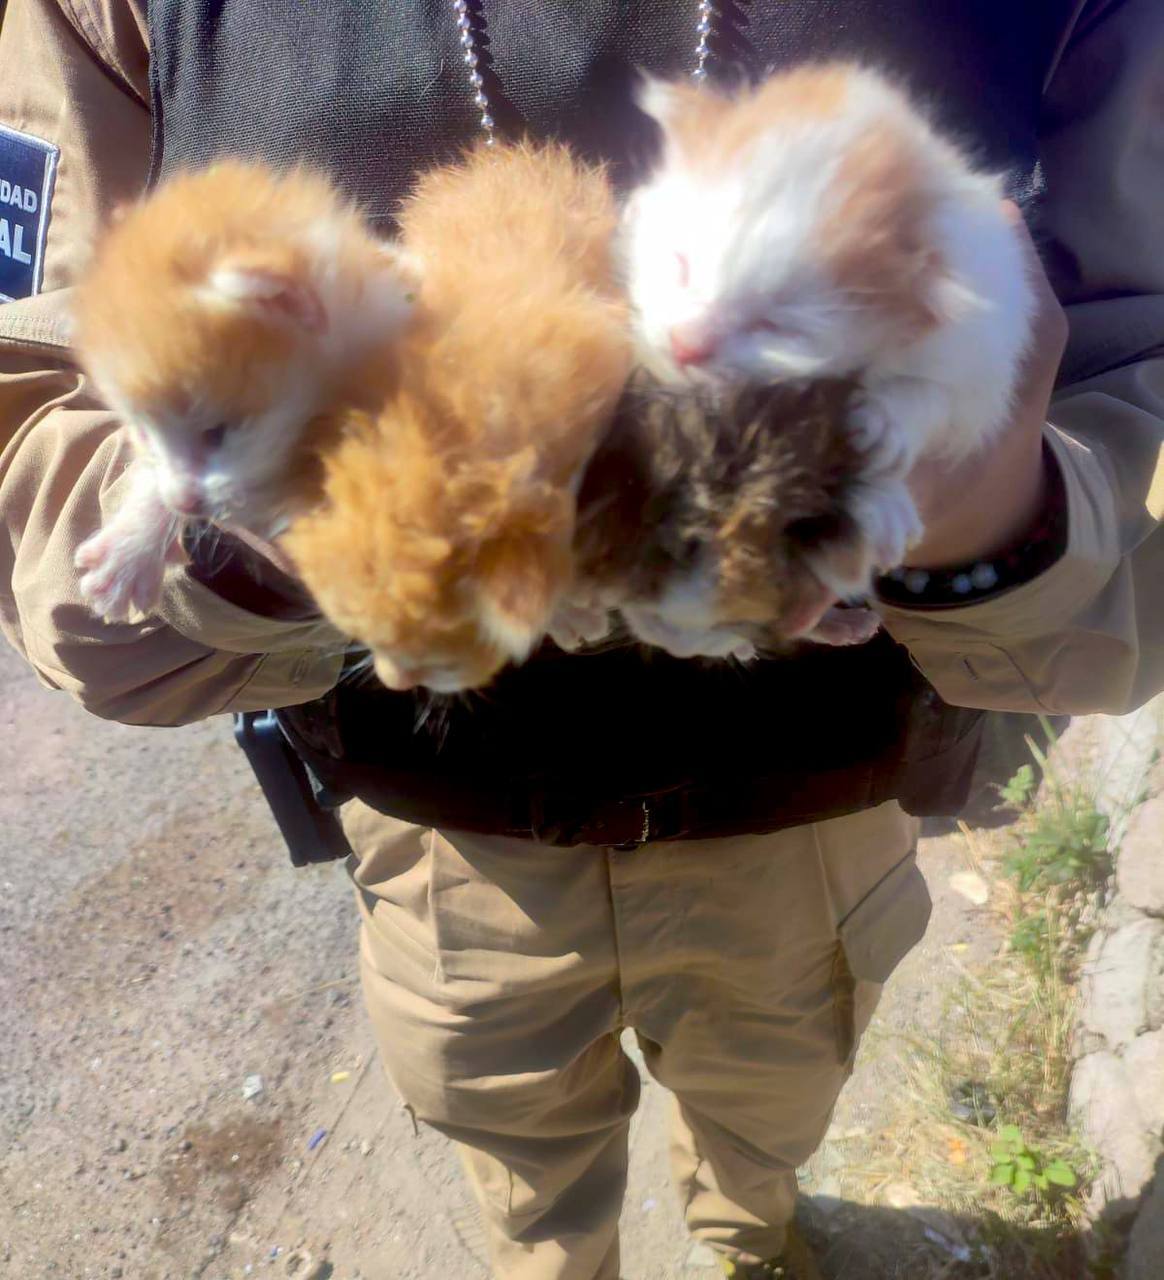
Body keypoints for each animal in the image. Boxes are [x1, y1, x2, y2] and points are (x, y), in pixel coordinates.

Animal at [622, 60, 1029, 640]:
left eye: (780, 326)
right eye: (680, 264)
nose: (684, 345)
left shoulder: (986, 336)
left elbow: (940, 396)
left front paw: (885, 422)